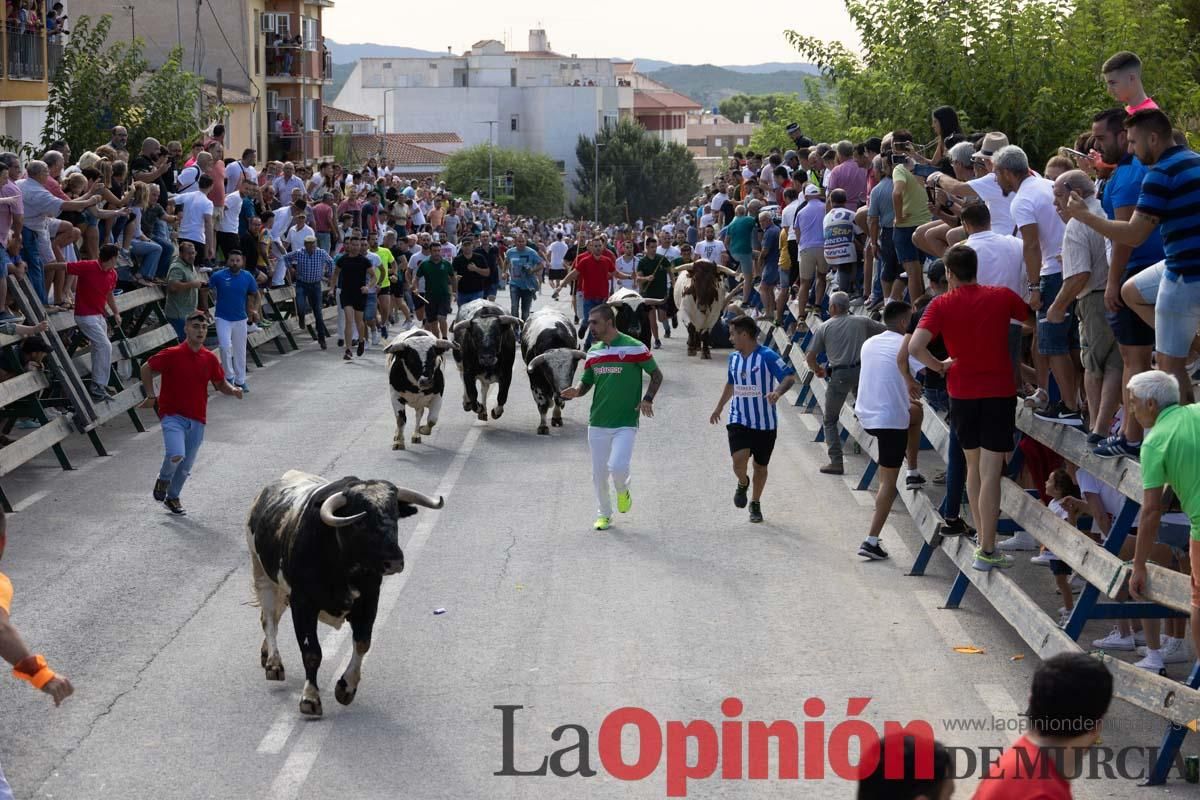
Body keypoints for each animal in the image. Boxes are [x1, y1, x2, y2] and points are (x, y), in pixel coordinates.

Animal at [246, 472, 444, 714]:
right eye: (360, 521)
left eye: (395, 515)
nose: (395, 561)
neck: (342, 564)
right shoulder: (303, 603)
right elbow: (312, 652)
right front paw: (310, 698)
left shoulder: (369, 601)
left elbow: (362, 642)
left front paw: (346, 687)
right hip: (262, 574)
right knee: (268, 619)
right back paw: (274, 663)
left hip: (282, 590)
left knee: (272, 616)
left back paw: (266, 654)